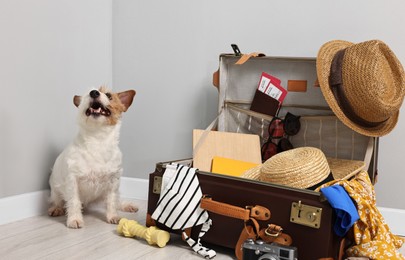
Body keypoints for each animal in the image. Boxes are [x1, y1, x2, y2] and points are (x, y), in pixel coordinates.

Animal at [48, 87, 137, 228]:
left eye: (108, 95)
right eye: (86, 95)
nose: (94, 92)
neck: (98, 139)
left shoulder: (113, 181)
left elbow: (112, 201)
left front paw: (113, 216)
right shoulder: (72, 180)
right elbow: (73, 201)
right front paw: (74, 219)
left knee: (117, 200)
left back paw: (127, 205)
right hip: (55, 189)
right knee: (57, 200)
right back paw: (56, 208)